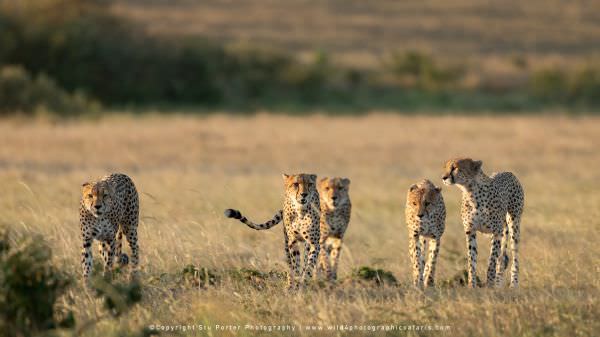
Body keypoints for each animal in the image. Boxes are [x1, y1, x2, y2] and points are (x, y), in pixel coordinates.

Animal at [440, 158, 524, 286]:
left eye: (455, 168)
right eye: (446, 167)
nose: (443, 177)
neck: (471, 192)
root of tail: (508, 172)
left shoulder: (496, 232)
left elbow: (492, 261)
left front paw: (489, 284)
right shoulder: (470, 231)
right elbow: (472, 261)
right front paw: (472, 284)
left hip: (513, 225)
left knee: (514, 258)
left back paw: (513, 285)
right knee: (501, 260)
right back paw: (498, 284)